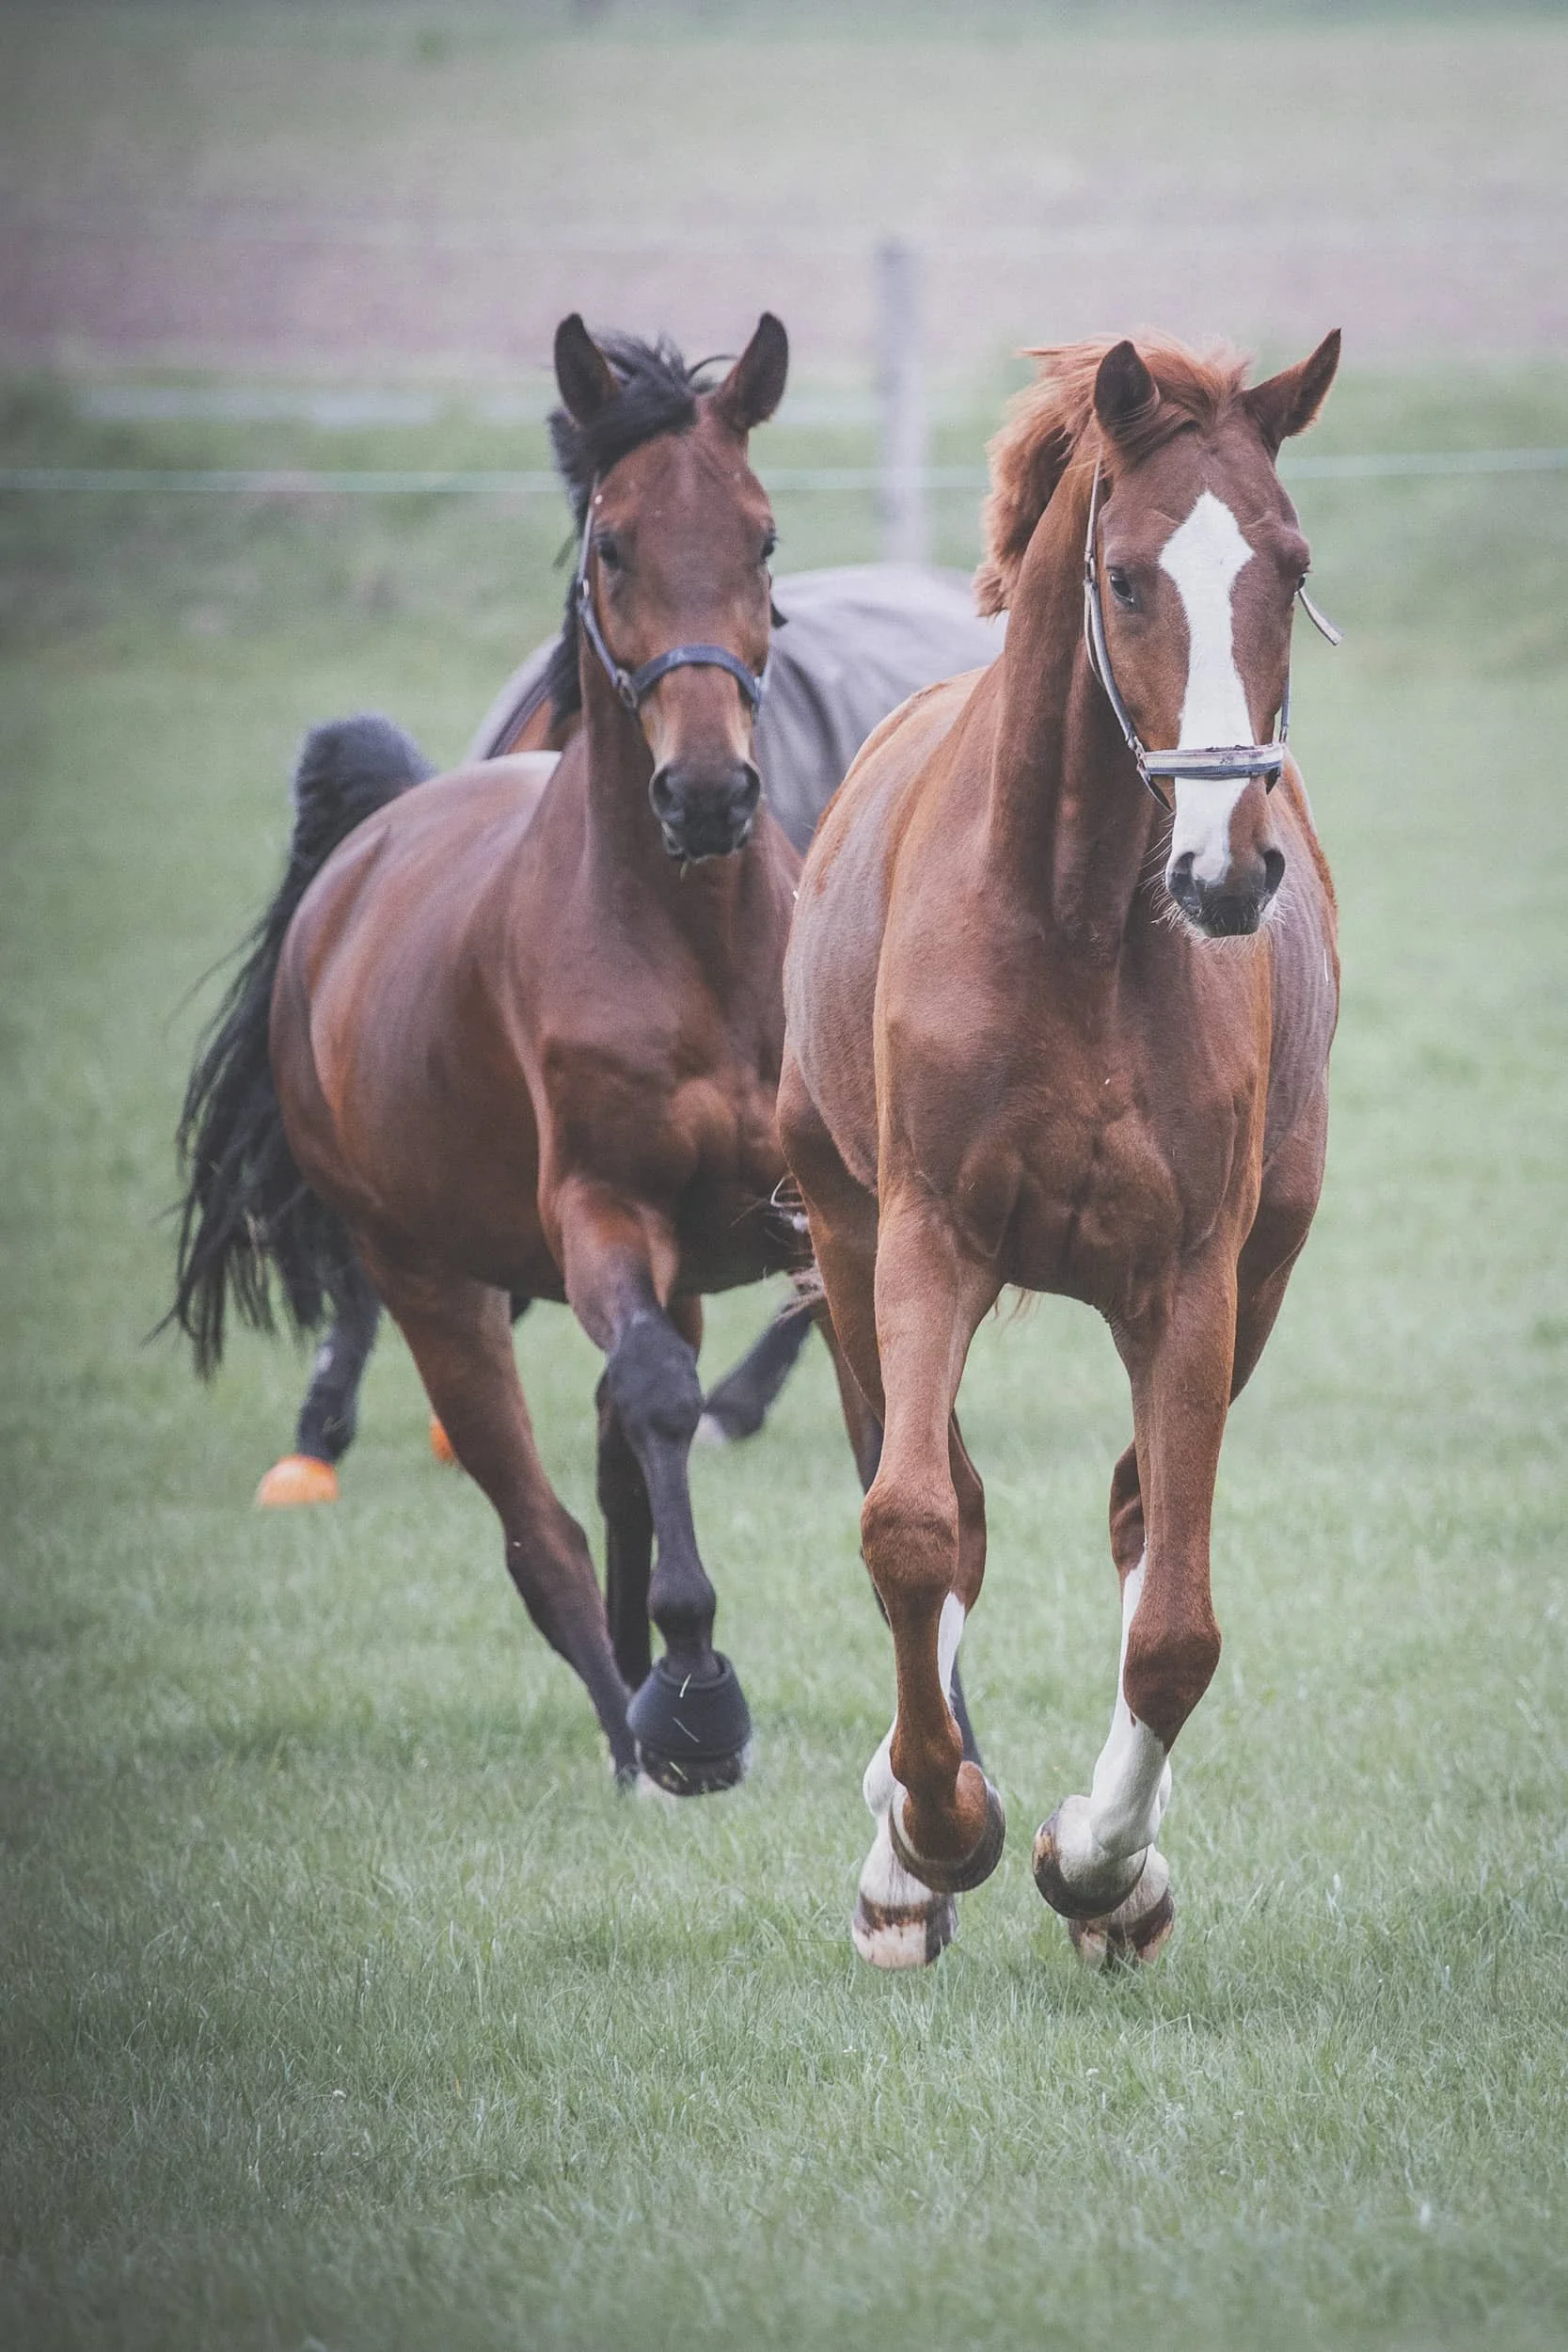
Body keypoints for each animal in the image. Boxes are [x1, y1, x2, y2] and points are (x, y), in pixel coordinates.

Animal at [171, 313, 914, 1795]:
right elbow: (651, 1405)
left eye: (761, 536)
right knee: (544, 1524)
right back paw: (645, 1726)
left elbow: (860, 1422)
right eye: (611, 545)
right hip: (434, 1280)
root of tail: (367, 853)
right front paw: (693, 1691)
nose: (706, 793)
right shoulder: (599, 1217)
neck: (695, 949)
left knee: (624, 1460)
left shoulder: (808, 1219)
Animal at [780, 328, 1342, 1967]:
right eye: (1126, 580)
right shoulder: (921, 1243)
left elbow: (1171, 1621)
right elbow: (912, 1528)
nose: (1226, 869)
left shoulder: (1193, 1285)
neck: (1078, 918)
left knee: (1136, 1524)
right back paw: (906, 1841)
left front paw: (1096, 1866)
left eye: (1288, 565)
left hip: (1255, 1280)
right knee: (945, 1511)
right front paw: (931, 1834)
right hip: (844, 1240)